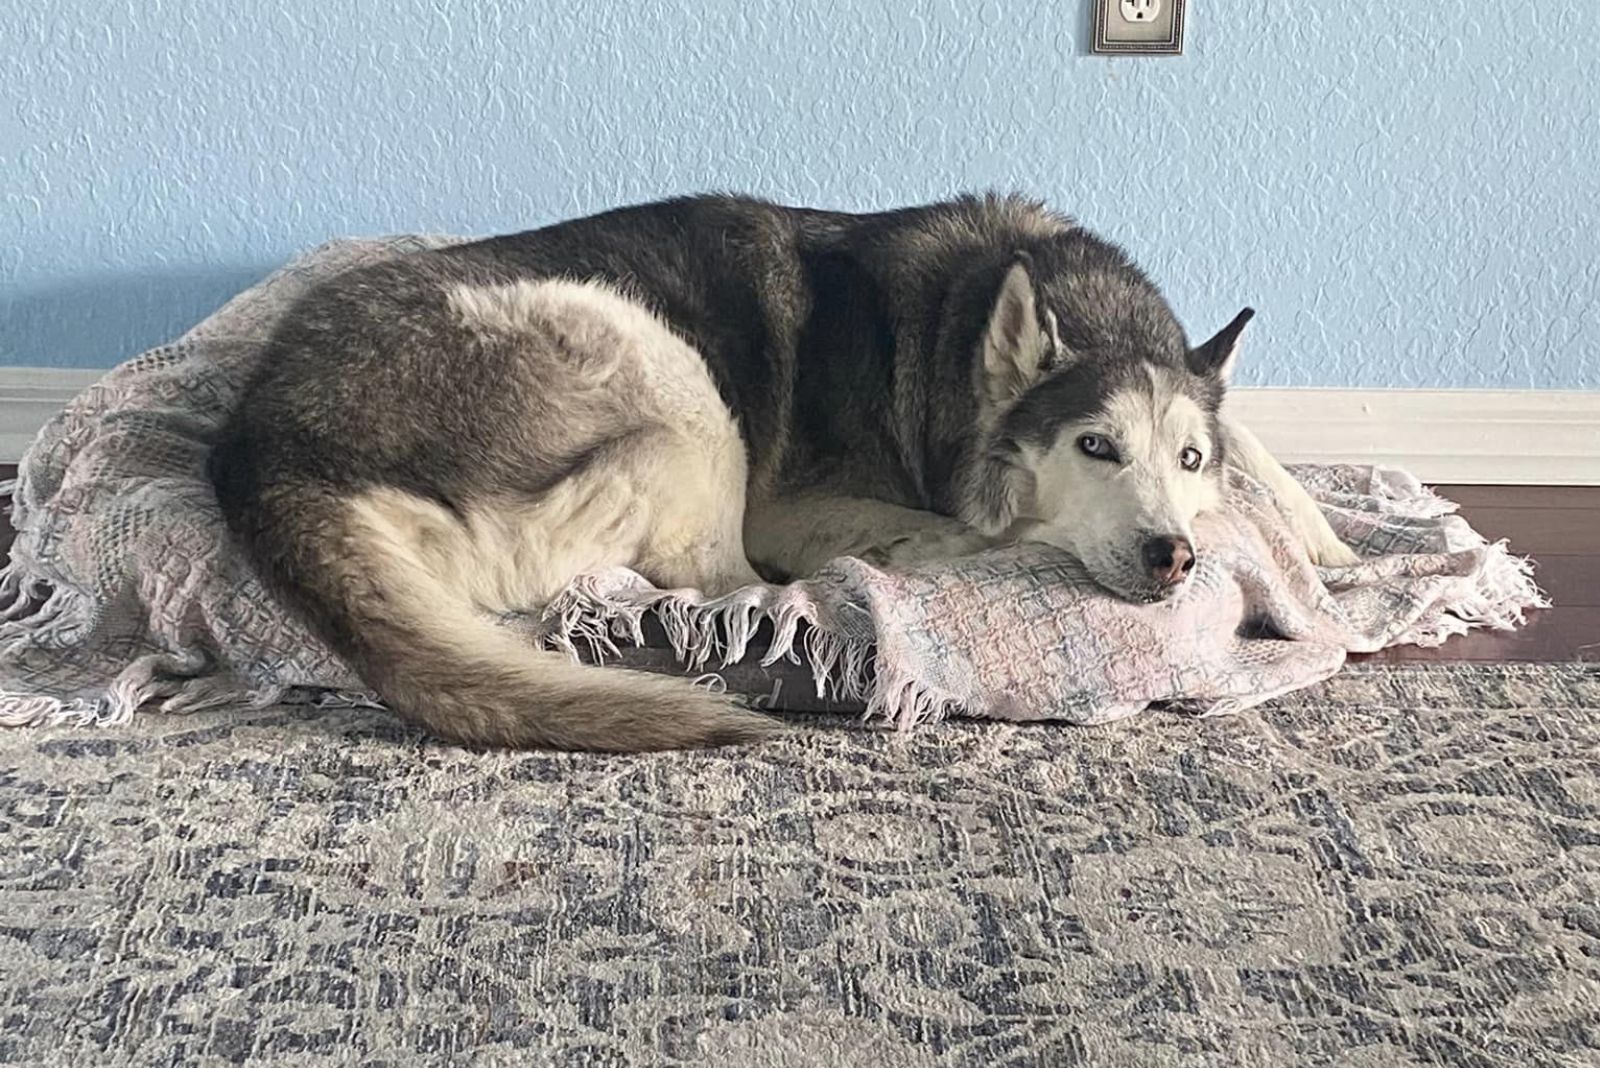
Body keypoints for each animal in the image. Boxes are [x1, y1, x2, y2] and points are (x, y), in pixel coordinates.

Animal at [212, 195, 1356, 754]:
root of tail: (259, 450)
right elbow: (978, 523)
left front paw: (1330, 538)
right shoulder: (798, 503)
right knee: (727, 583)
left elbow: (1259, 452)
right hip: (660, 361)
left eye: (1186, 458)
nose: (1174, 557)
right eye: (1095, 448)